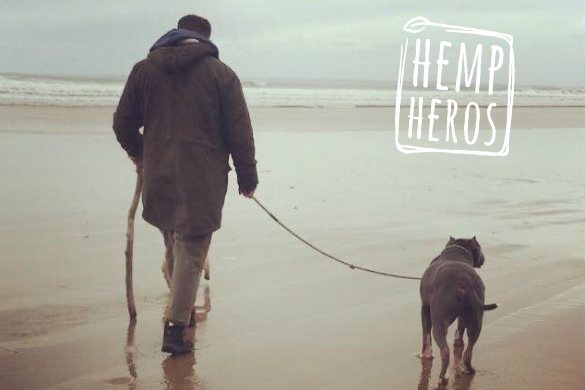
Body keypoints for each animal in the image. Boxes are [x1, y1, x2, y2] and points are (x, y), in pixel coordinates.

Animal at [420, 236, 498, 382]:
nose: (483, 258)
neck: (456, 251)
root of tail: (464, 279)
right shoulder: (463, 316)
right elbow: (460, 328)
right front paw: (458, 341)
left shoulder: (424, 308)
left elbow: (425, 335)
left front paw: (425, 355)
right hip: (476, 320)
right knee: (468, 351)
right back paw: (469, 369)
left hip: (439, 322)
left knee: (445, 351)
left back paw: (443, 377)